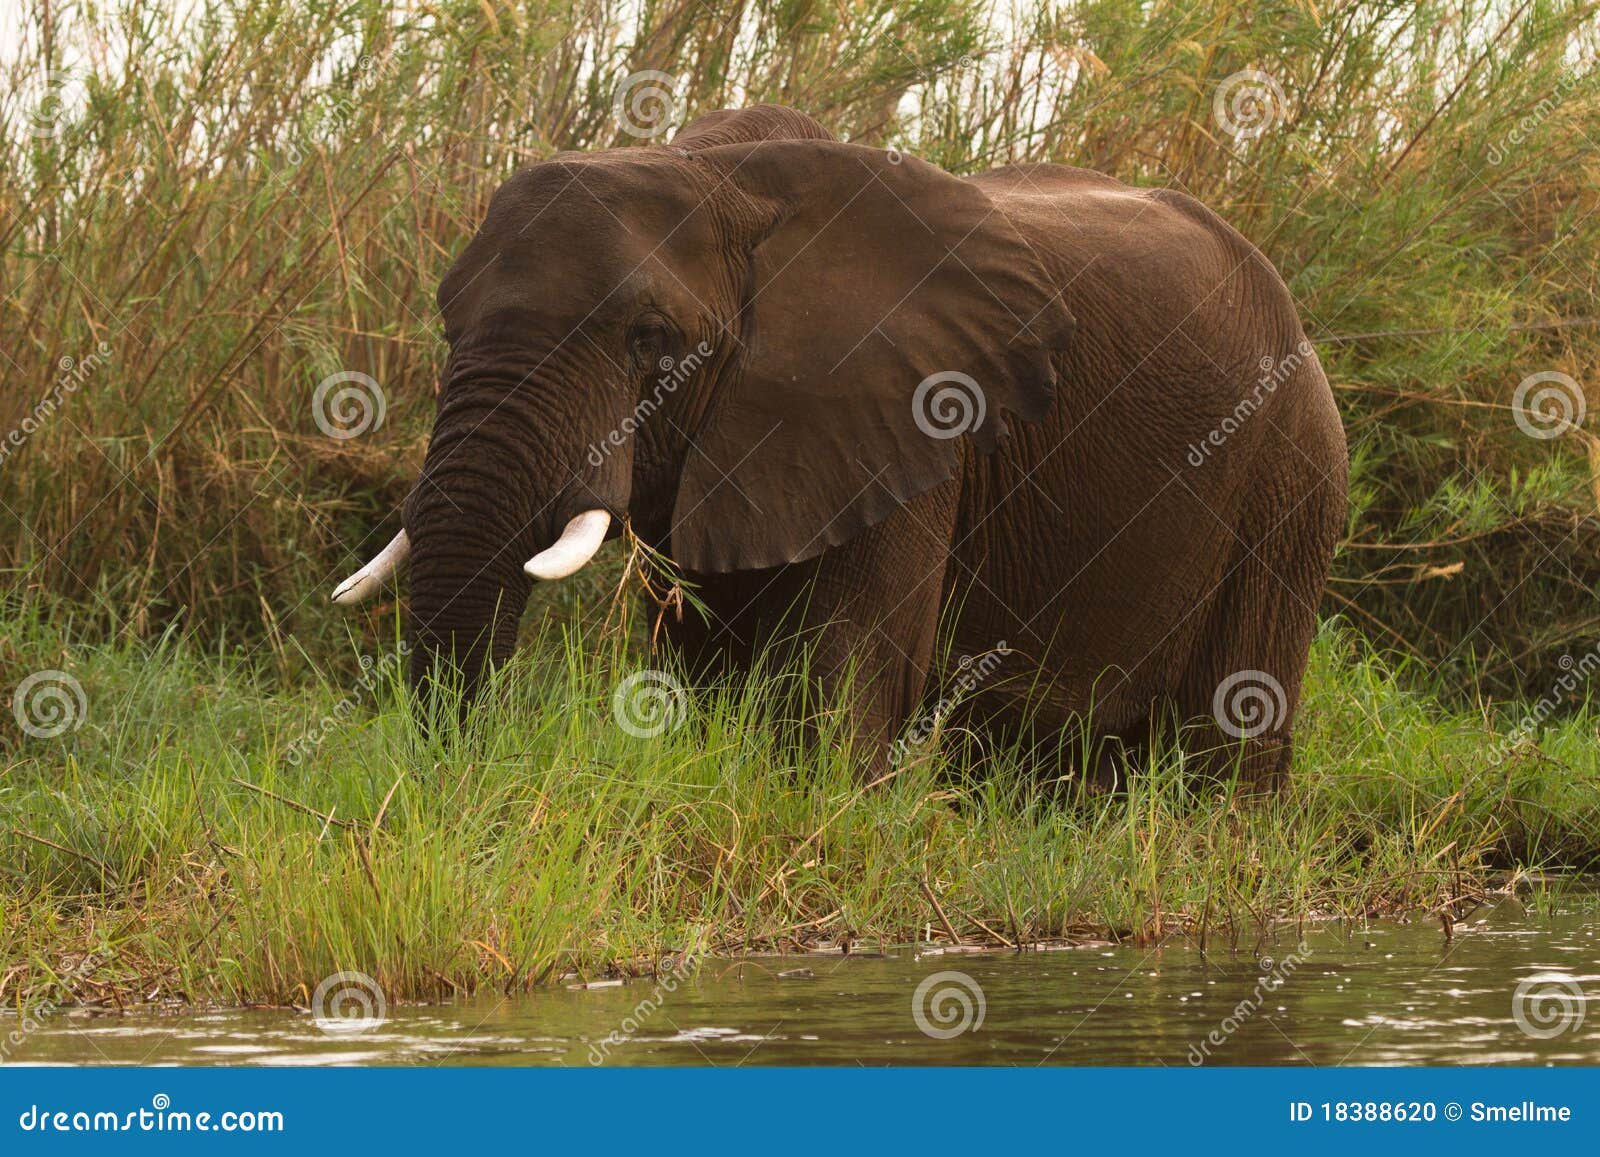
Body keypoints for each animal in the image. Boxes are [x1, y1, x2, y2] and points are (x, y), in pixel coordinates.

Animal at [331, 106, 1344, 787]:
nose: (455, 773)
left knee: (1231, 733)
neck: (713, 173)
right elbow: (706, 666)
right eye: (448, 321)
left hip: (1292, 477)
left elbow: (845, 681)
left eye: (649, 338)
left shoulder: (918, 418)